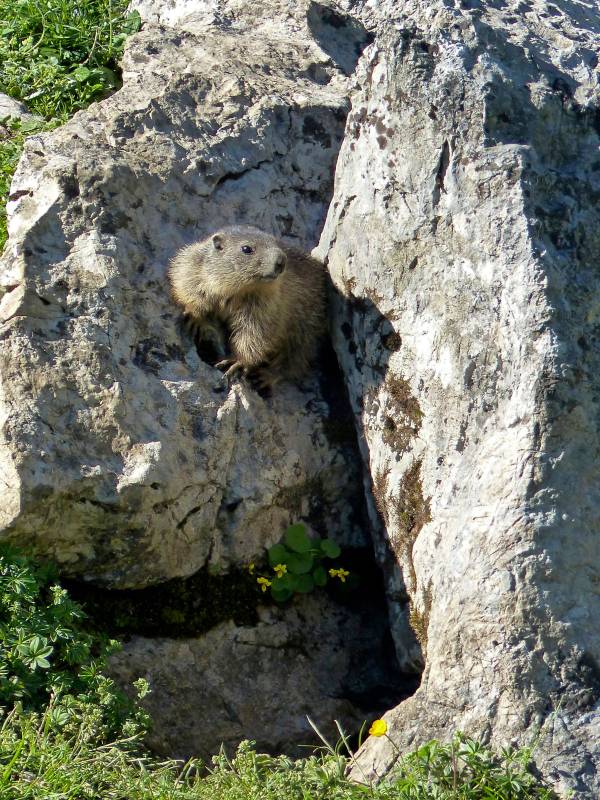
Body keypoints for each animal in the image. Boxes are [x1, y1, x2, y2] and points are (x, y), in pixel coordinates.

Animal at [168, 225, 326, 387]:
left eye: (278, 243)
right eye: (246, 249)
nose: (281, 261)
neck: (238, 289)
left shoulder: (267, 305)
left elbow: (255, 331)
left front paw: (237, 362)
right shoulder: (194, 265)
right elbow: (184, 281)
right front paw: (195, 318)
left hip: (307, 326)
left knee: (295, 357)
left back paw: (267, 375)